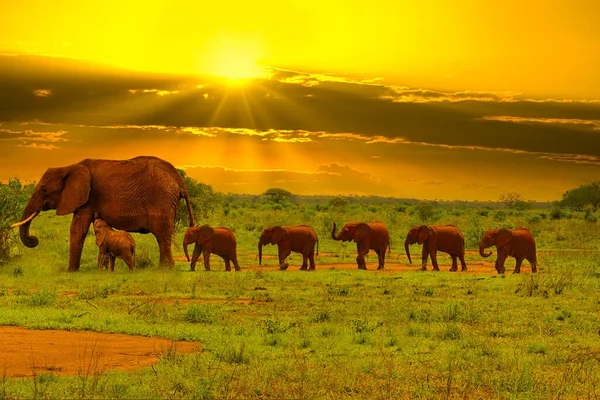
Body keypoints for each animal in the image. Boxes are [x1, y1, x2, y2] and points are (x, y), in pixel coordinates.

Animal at [10, 156, 195, 272]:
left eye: (43, 189)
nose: (33, 239)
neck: (69, 166)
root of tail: (179, 181)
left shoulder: (87, 198)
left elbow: (77, 229)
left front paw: (70, 271)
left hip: (161, 199)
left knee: (162, 235)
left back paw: (164, 270)